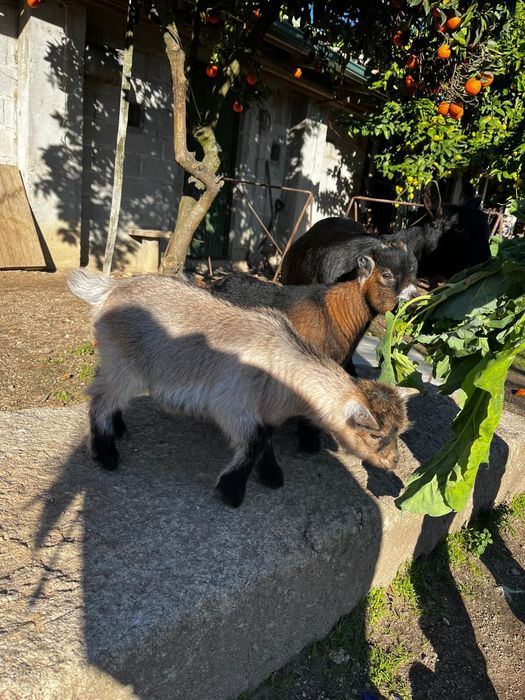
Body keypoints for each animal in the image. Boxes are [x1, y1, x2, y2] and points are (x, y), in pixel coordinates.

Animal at [68, 270, 410, 507]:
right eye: (375, 434)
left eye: (399, 431)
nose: (394, 462)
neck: (281, 361)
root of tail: (110, 289)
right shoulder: (231, 404)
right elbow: (255, 441)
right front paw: (231, 491)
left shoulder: (265, 409)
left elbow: (265, 439)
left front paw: (270, 474)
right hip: (126, 365)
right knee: (100, 399)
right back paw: (107, 454)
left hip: (114, 359)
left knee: (105, 390)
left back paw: (118, 428)